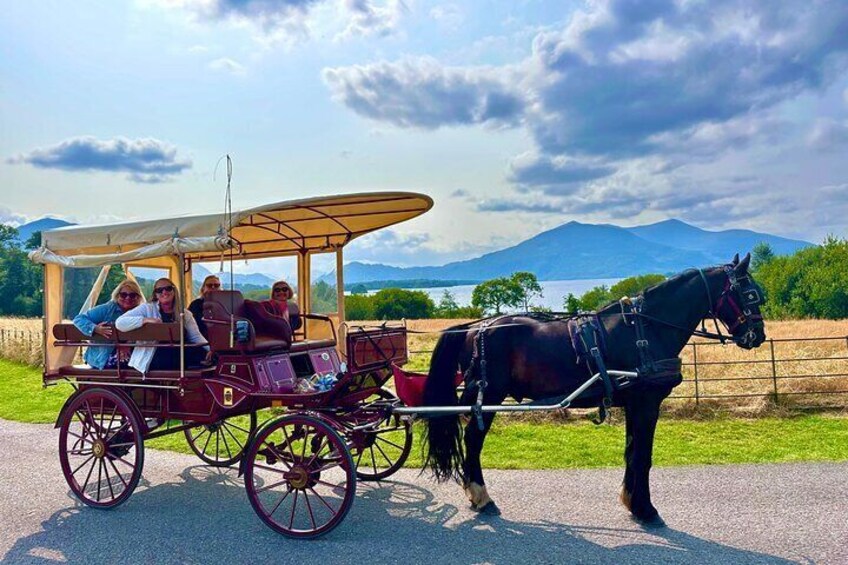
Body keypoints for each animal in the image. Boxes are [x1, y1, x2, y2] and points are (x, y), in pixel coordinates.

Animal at [424, 253, 768, 528]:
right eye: (750, 293)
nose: (757, 335)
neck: (645, 330)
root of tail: (473, 327)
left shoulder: (634, 404)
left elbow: (632, 452)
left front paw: (632, 502)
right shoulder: (646, 403)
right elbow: (643, 456)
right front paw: (646, 510)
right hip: (490, 394)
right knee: (473, 440)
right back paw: (482, 496)